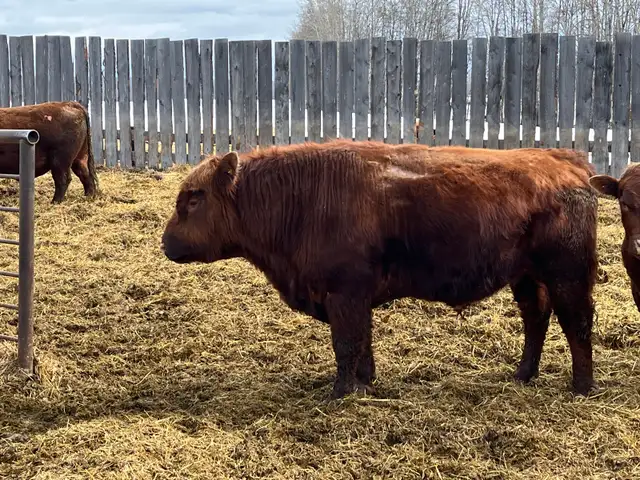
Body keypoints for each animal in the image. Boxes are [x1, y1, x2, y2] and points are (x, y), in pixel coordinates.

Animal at [161, 140, 600, 400]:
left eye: (195, 198)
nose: (166, 243)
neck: (303, 197)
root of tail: (566, 162)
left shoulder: (344, 294)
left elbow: (345, 343)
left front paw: (340, 392)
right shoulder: (354, 299)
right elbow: (362, 342)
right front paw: (365, 382)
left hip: (567, 276)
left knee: (576, 323)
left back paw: (581, 387)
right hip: (526, 277)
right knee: (536, 317)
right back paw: (523, 374)